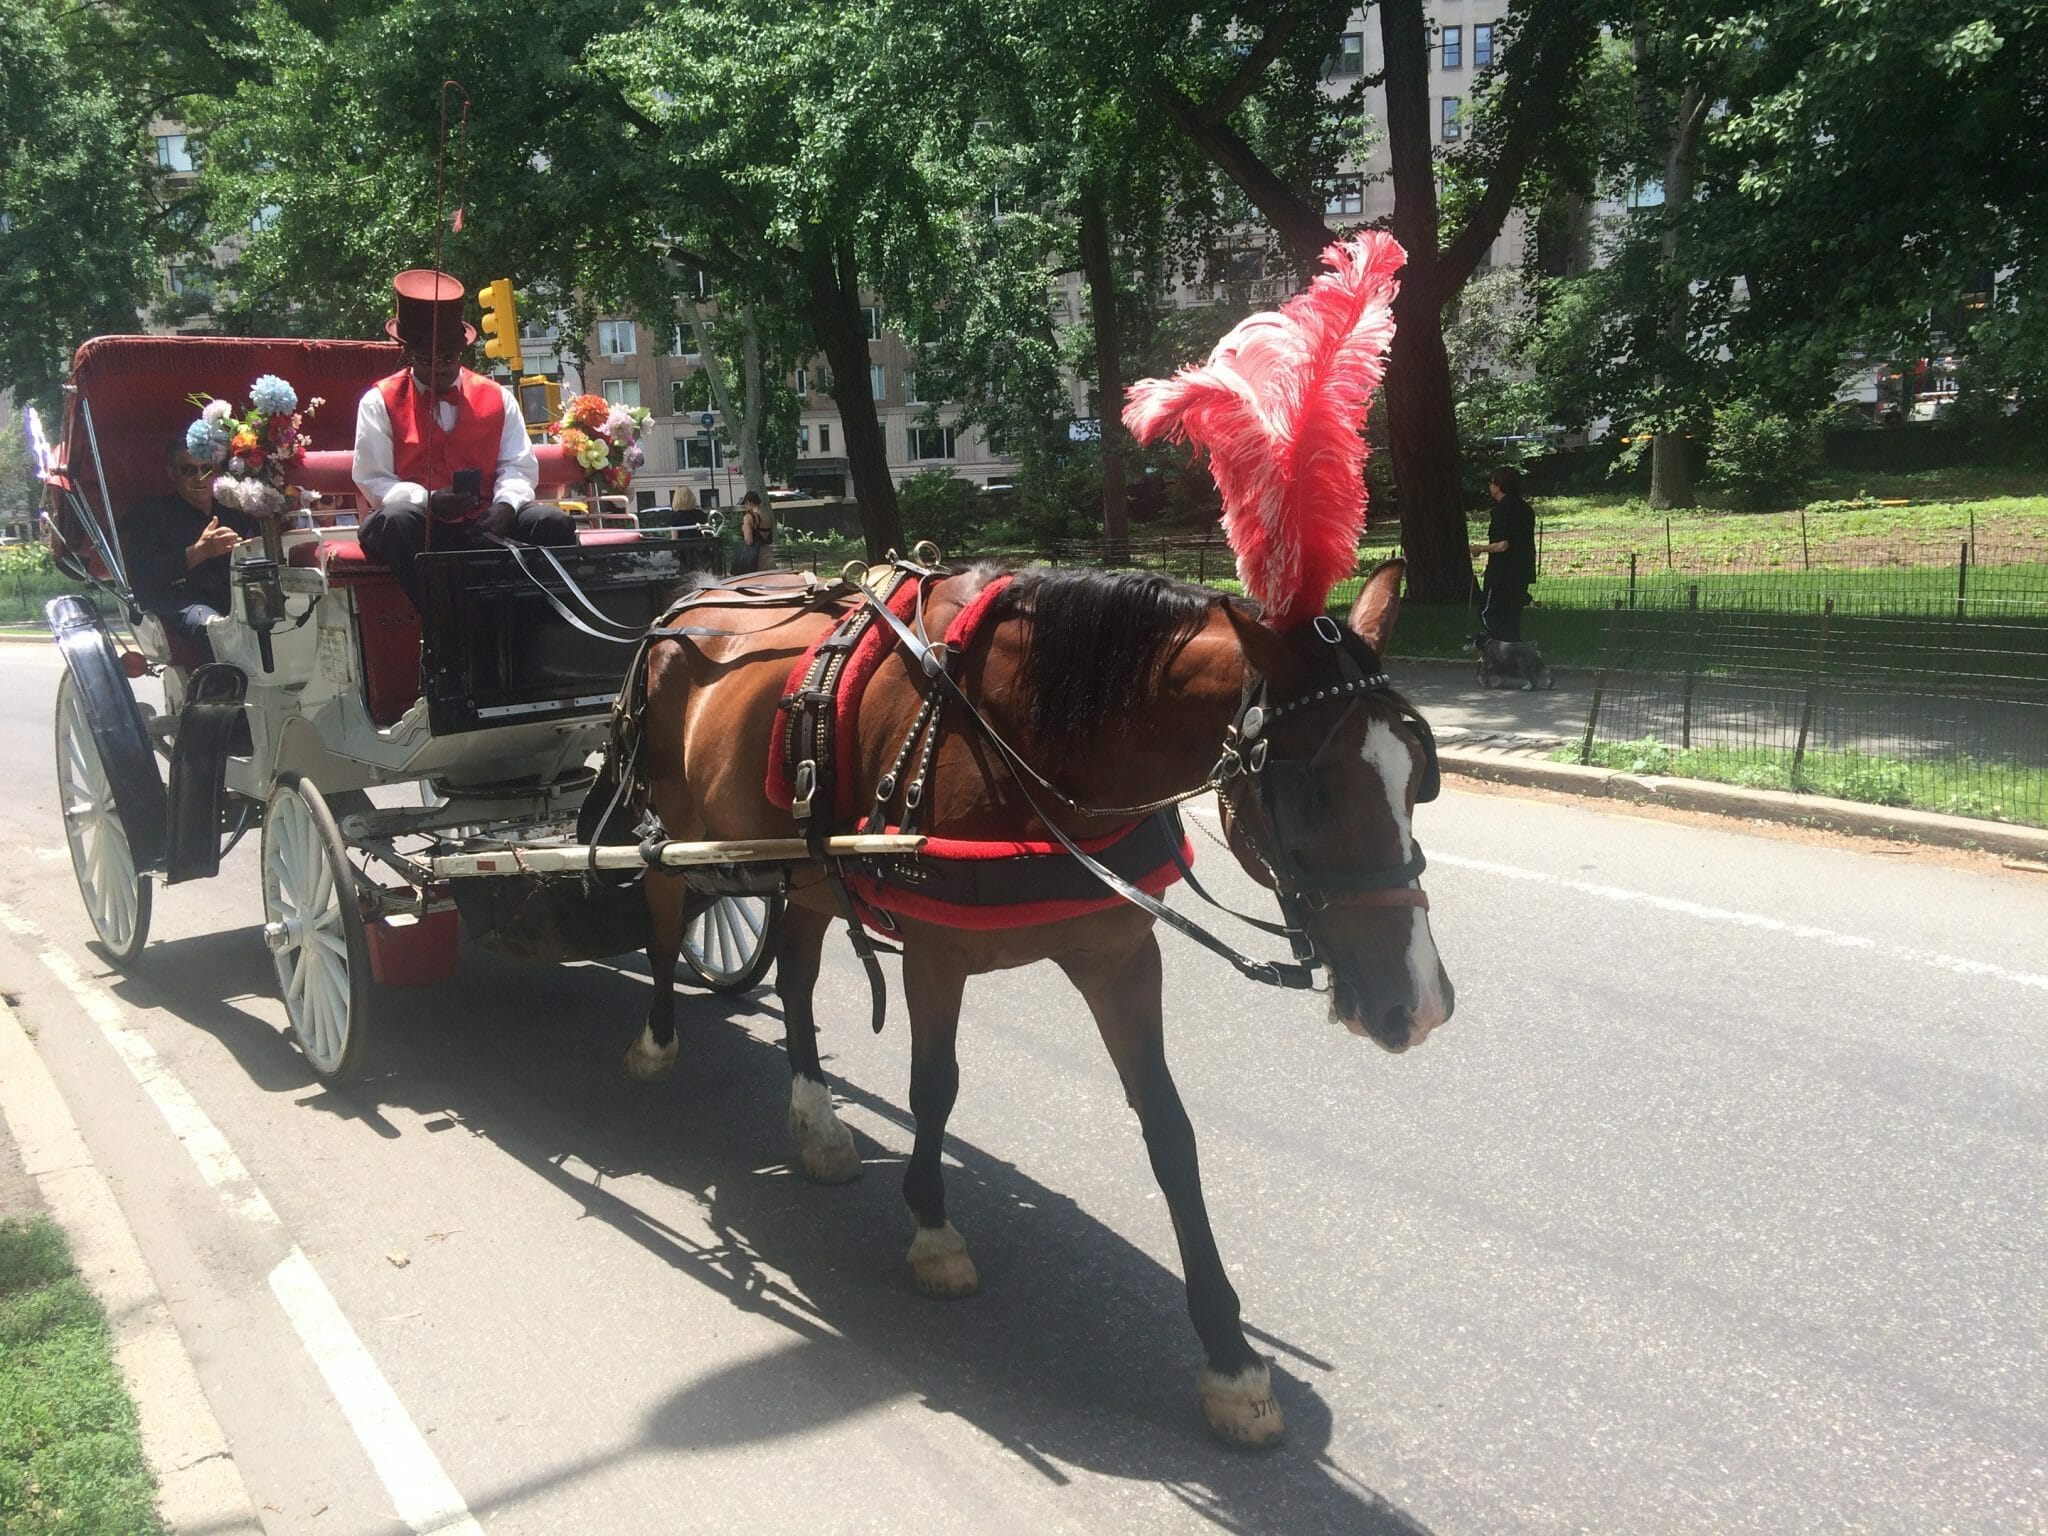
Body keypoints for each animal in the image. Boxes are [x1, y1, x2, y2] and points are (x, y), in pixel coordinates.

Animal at [614, 561, 1449, 1449]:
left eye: (1418, 778)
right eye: (1308, 790)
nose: (1421, 1004)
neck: (1030, 745)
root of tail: (692, 593)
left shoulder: (1119, 958)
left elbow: (1170, 1132)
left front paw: (1230, 1355)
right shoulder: (936, 954)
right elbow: (933, 1089)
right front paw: (933, 1232)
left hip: (802, 869)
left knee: (798, 977)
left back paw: (818, 1122)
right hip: (672, 832)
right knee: (663, 928)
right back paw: (657, 1042)